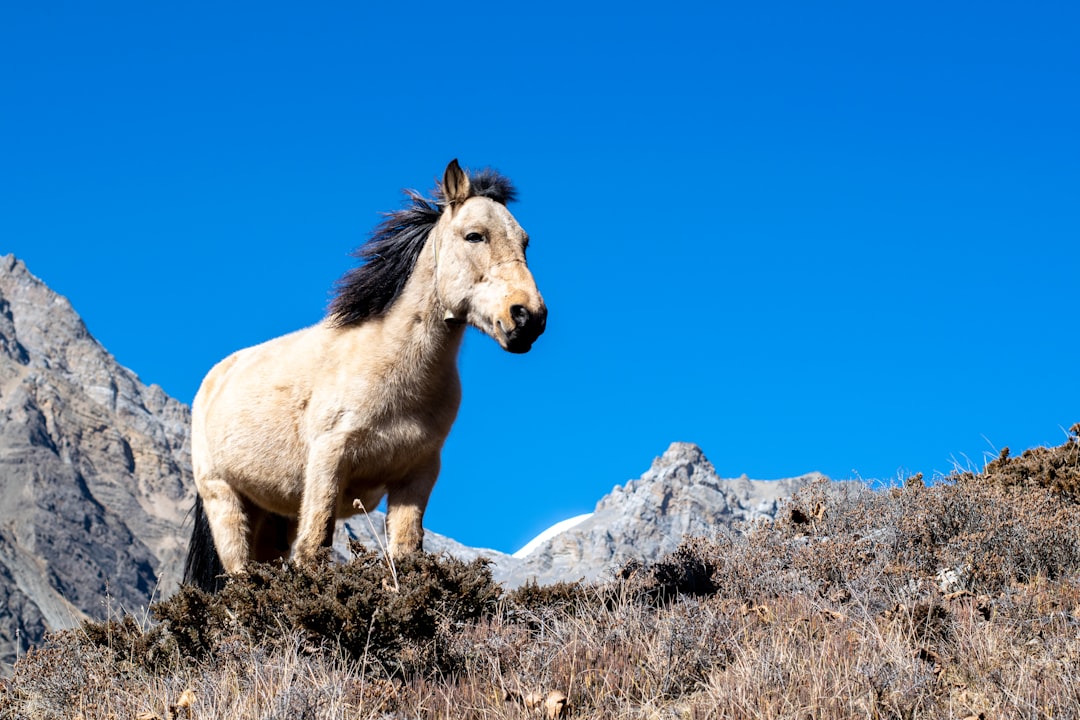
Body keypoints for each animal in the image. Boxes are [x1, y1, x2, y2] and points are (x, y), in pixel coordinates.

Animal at [183, 158, 548, 591]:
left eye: (524, 242)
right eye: (474, 235)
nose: (528, 317)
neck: (391, 369)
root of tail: (213, 380)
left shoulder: (417, 475)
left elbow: (405, 554)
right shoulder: (329, 462)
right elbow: (315, 548)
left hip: (271, 515)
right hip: (225, 501)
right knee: (239, 578)